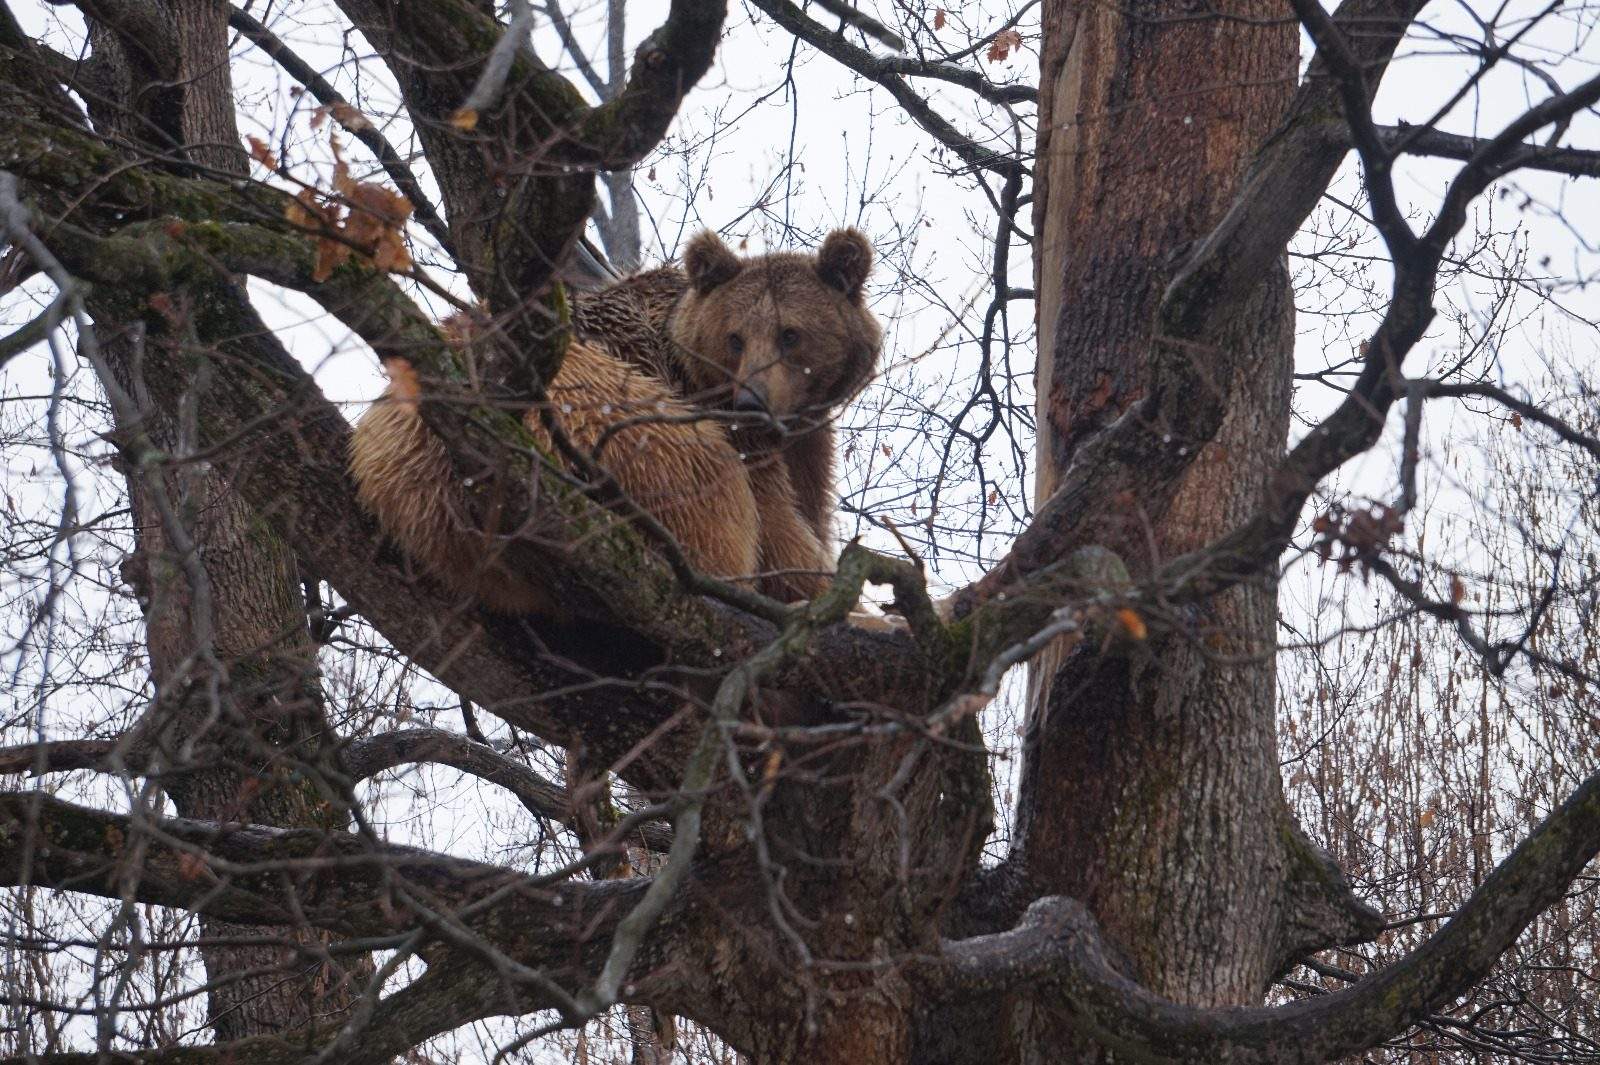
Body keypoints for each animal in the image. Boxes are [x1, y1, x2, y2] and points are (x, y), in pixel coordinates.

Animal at [350, 228, 883, 614]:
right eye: (735, 338)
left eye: (791, 334)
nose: (753, 400)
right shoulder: (725, 419)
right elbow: (781, 538)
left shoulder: (804, 440)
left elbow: (808, 508)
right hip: (598, 412)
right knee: (705, 486)